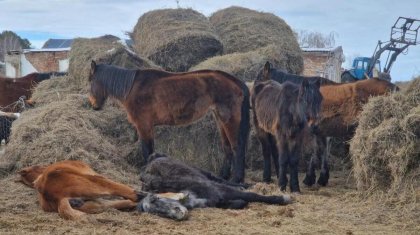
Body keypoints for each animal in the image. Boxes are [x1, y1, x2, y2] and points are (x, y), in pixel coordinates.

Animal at [86, 61, 248, 183]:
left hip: (229, 120)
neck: (132, 88)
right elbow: (151, 150)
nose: (94, 106)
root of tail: (235, 81)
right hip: (219, 119)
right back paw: (223, 177)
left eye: (90, 81)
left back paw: (236, 179)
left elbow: (146, 150)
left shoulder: (143, 125)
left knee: (237, 147)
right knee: (227, 147)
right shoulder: (149, 127)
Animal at [141, 152, 292, 209]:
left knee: (224, 181)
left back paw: (247, 184)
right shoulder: (217, 197)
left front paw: (282, 198)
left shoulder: (217, 190)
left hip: (204, 173)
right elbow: (241, 200)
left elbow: (251, 195)